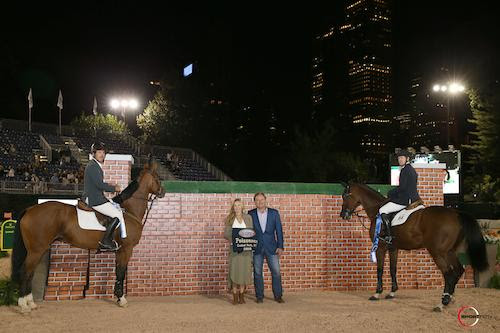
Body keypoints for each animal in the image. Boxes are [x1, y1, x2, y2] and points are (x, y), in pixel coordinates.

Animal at [10, 161, 165, 312]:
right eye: (157, 178)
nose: (163, 192)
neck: (129, 211)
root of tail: (30, 209)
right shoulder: (126, 249)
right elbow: (121, 273)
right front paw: (122, 300)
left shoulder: (119, 251)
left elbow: (117, 272)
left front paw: (117, 296)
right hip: (36, 250)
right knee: (25, 272)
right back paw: (24, 305)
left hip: (37, 250)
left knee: (30, 273)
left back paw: (31, 303)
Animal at [340, 183, 488, 310]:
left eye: (346, 196)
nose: (343, 215)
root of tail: (456, 214)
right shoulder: (393, 248)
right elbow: (393, 269)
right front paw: (392, 292)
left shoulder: (381, 248)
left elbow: (380, 270)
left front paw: (377, 293)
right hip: (450, 251)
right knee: (458, 270)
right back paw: (450, 298)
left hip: (438, 252)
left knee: (448, 273)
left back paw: (442, 303)